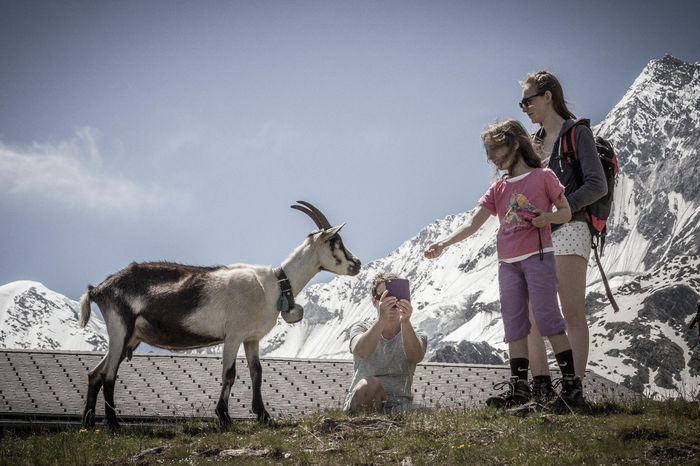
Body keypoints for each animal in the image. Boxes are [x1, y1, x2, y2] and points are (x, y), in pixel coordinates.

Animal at [78, 202, 360, 428]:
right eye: (335, 242)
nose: (356, 264)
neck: (274, 285)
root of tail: (98, 289)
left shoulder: (251, 338)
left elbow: (257, 372)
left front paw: (263, 415)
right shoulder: (233, 335)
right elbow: (230, 373)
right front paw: (224, 417)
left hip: (128, 336)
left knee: (95, 373)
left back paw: (89, 424)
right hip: (120, 327)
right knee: (109, 375)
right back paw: (113, 424)